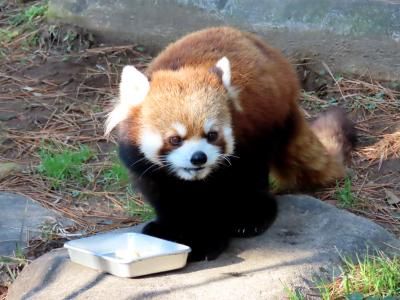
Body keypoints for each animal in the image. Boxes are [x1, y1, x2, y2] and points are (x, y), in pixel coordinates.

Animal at [104, 27, 354, 260]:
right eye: (175, 139)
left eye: (211, 135)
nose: (199, 158)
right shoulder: (143, 164)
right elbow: (166, 198)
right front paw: (171, 230)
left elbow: (222, 196)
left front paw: (207, 240)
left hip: (266, 128)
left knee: (251, 180)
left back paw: (253, 215)